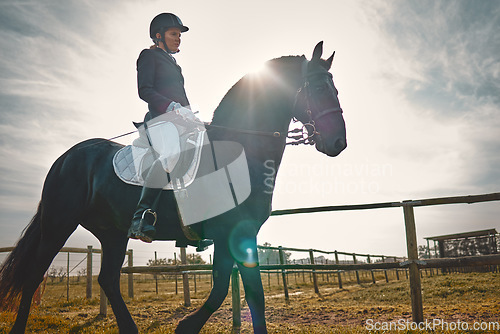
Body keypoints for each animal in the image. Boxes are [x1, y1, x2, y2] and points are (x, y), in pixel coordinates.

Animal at [0, 42, 344, 334]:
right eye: (317, 88)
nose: (338, 142)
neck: (240, 151)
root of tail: (66, 157)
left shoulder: (239, 233)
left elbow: (244, 292)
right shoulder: (231, 231)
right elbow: (230, 288)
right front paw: (185, 326)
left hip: (112, 233)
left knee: (108, 279)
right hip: (59, 224)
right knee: (34, 276)